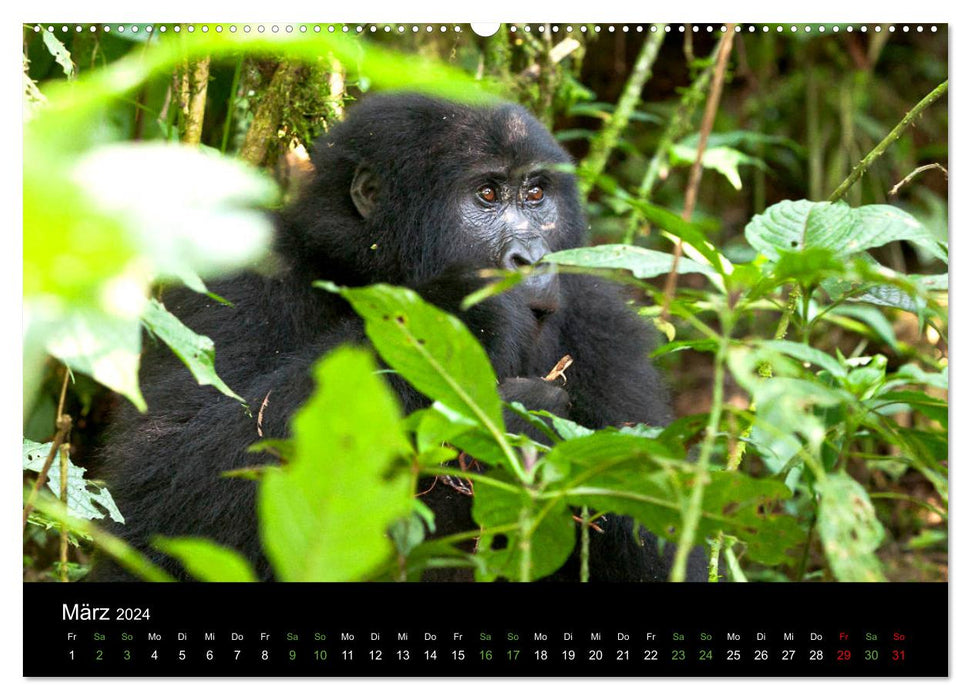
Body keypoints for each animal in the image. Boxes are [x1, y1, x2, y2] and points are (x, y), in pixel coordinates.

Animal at [93, 94, 708, 584]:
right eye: (487, 195)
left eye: (536, 195)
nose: (529, 259)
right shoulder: (239, 275)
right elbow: (159, 491)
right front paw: (468, 316)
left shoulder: (604, 322)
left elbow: (665, 543)